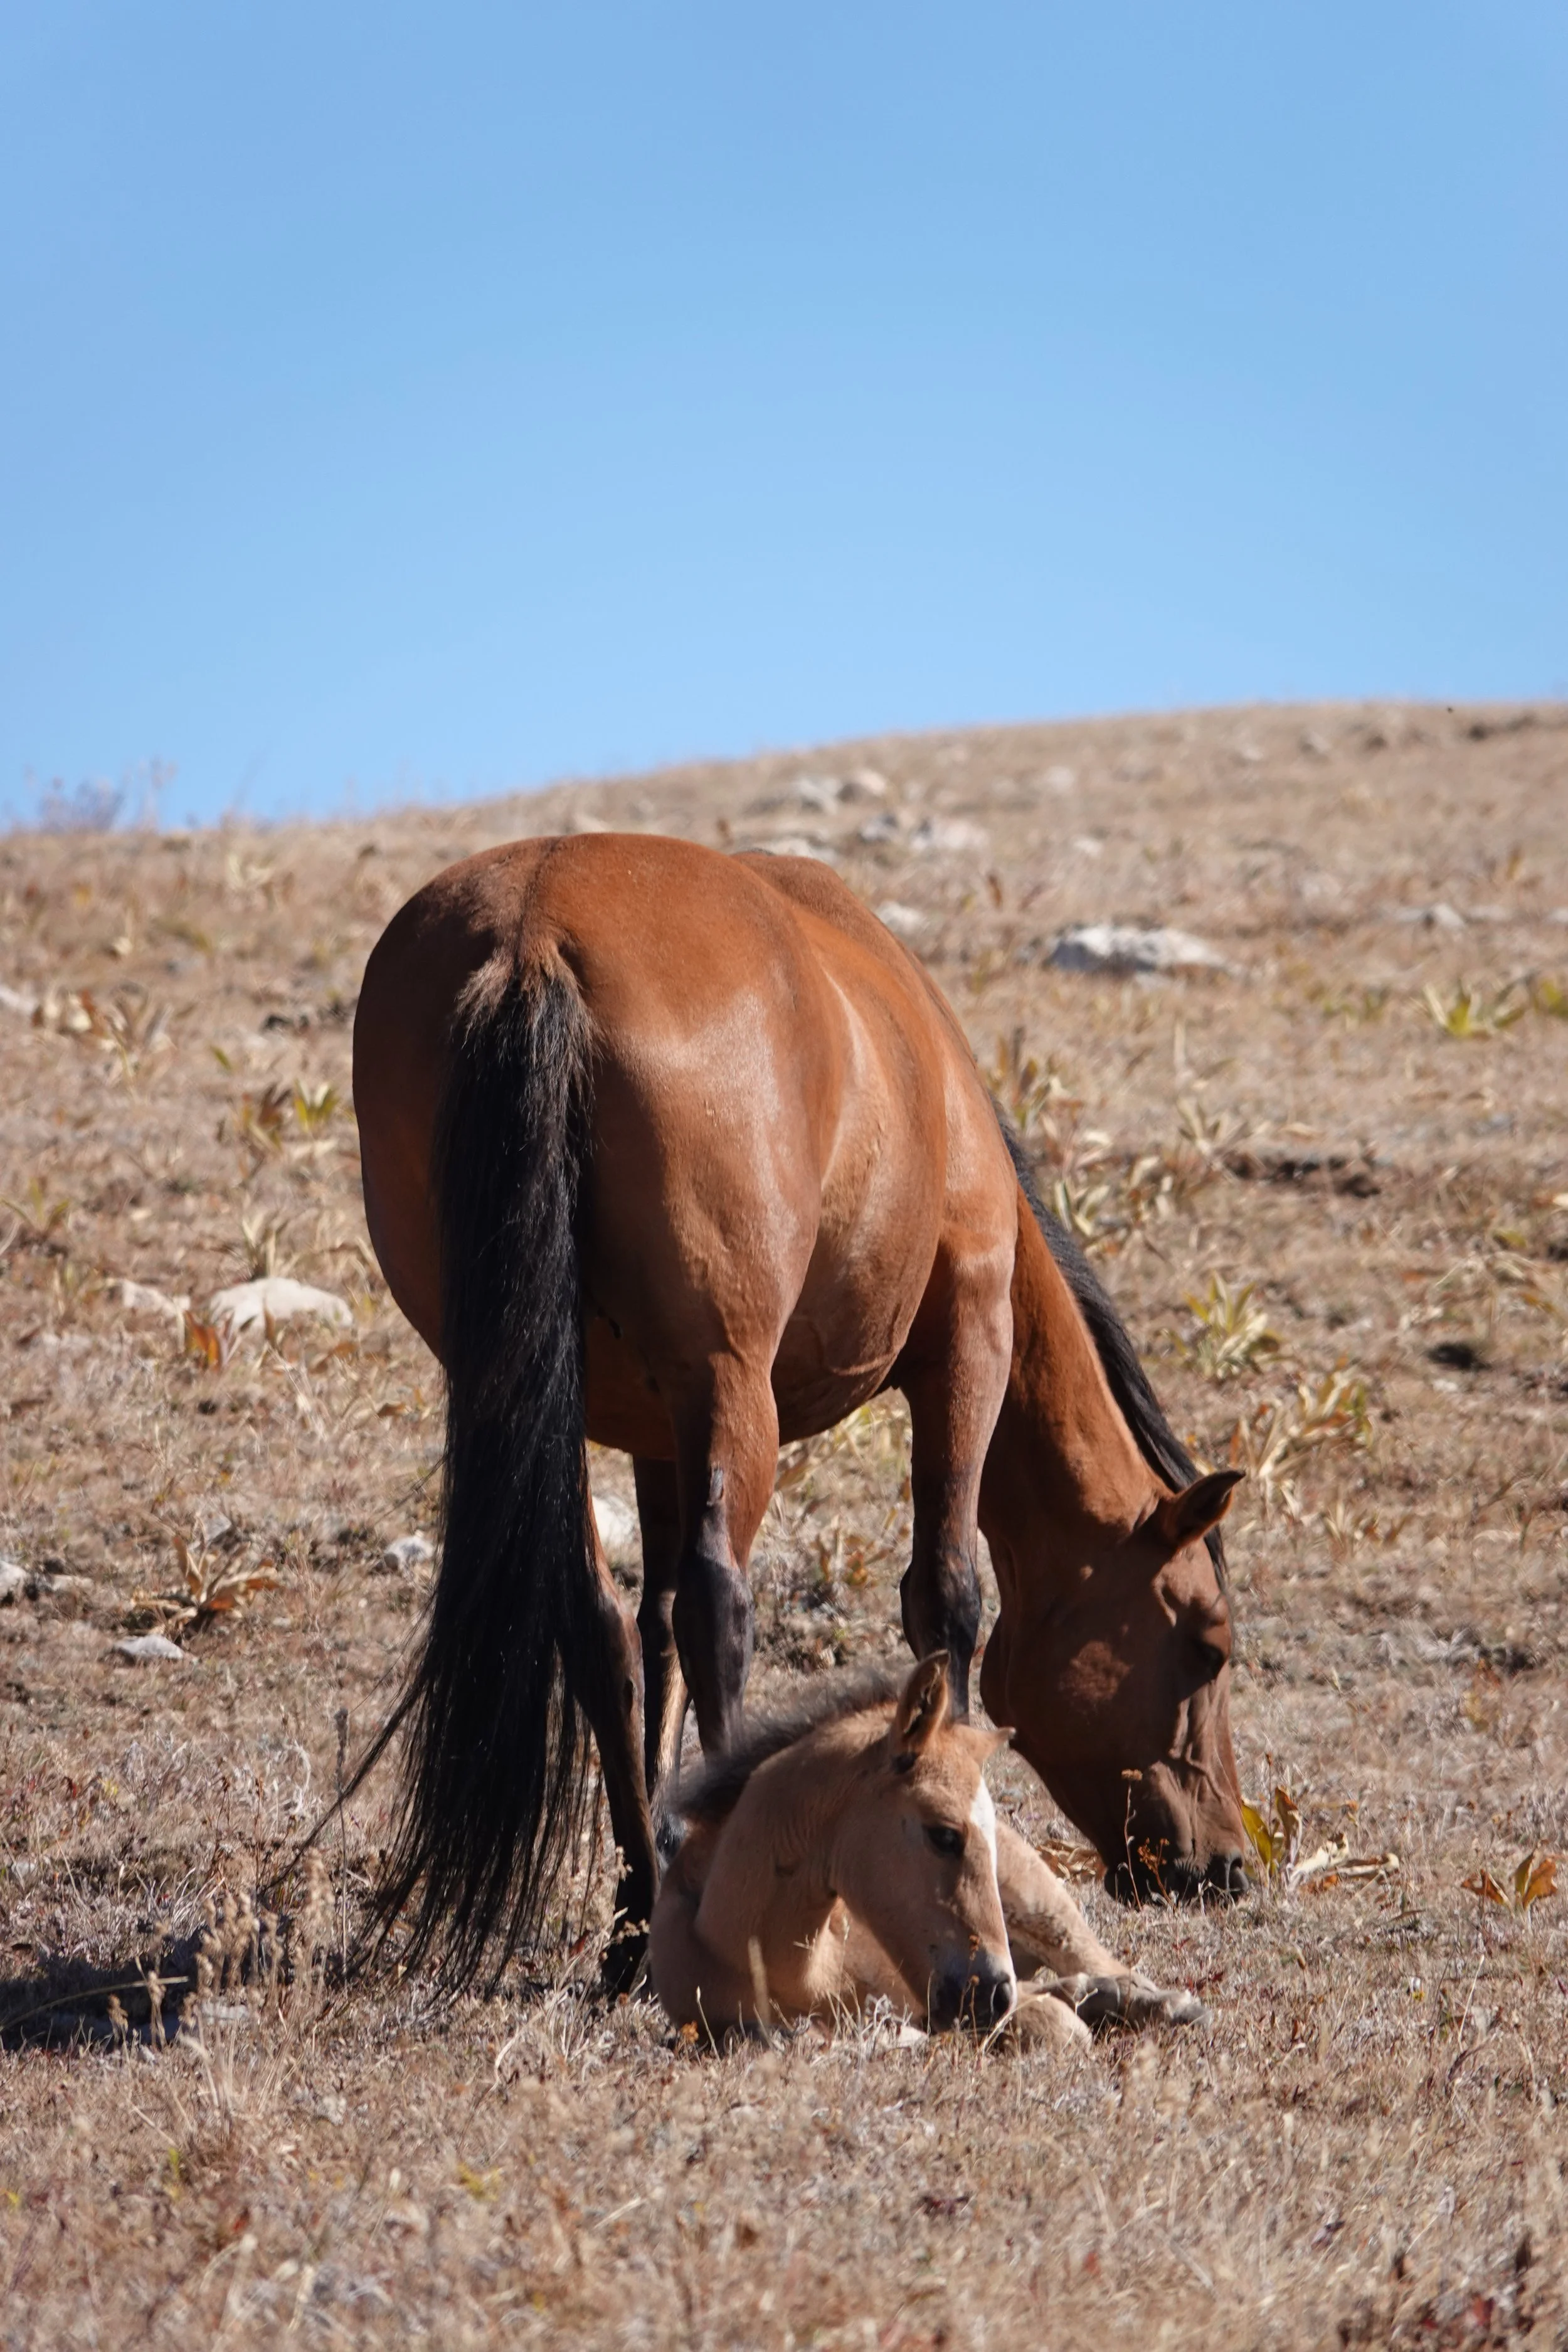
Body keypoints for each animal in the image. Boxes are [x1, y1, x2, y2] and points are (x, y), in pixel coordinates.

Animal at [350, 831, 1249, 1986]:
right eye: (1206, 1646)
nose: (1227, 1863)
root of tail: (533, 934)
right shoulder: (968, 1341)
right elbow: (946, 1596)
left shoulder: (655, 1431)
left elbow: (648, 1638)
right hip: (735, 1388)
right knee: (718, 1604)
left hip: (531, 1387)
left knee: (602, 1623)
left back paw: (640, 1921)